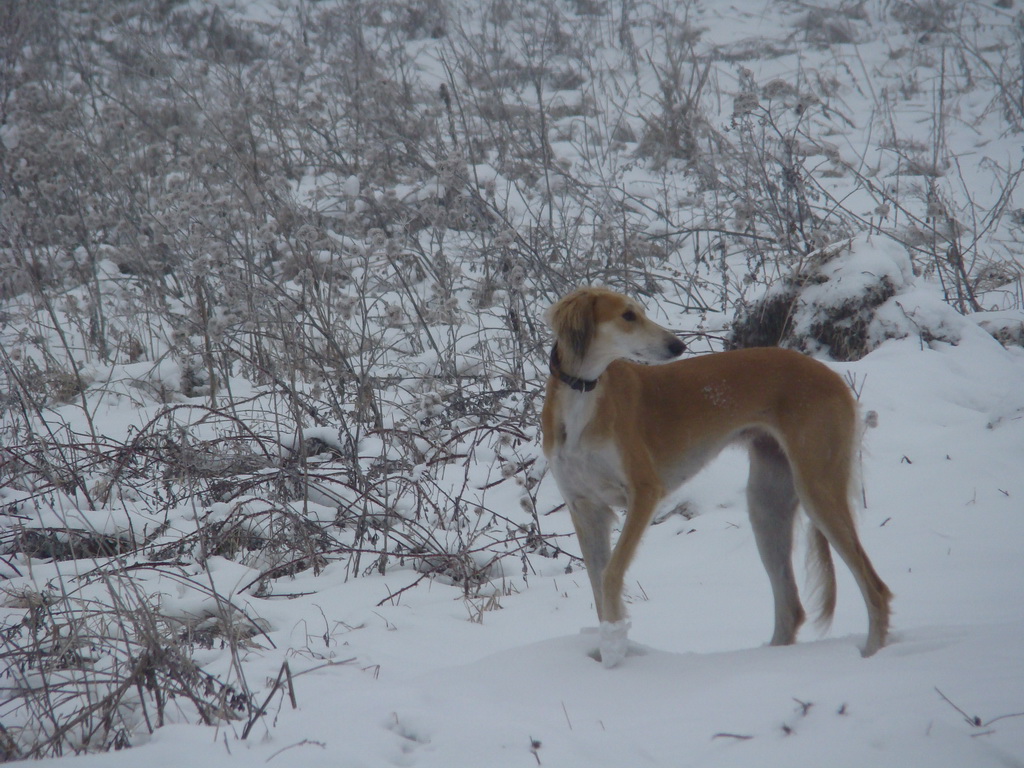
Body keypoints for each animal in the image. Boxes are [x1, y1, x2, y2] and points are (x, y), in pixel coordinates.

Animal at [540, 288, 892, 667]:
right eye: (627, 315)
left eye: (639, 312)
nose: (677, 346)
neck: (583, 397)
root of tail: (832, 374)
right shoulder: (585, 508)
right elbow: (597, 580)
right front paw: (610, 653)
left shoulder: (645, 491)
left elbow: (610, 575)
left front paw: (614, 654)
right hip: (767, 503)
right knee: (791, 607)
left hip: (818, 487)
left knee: (875, 588)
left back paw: (871, 655)